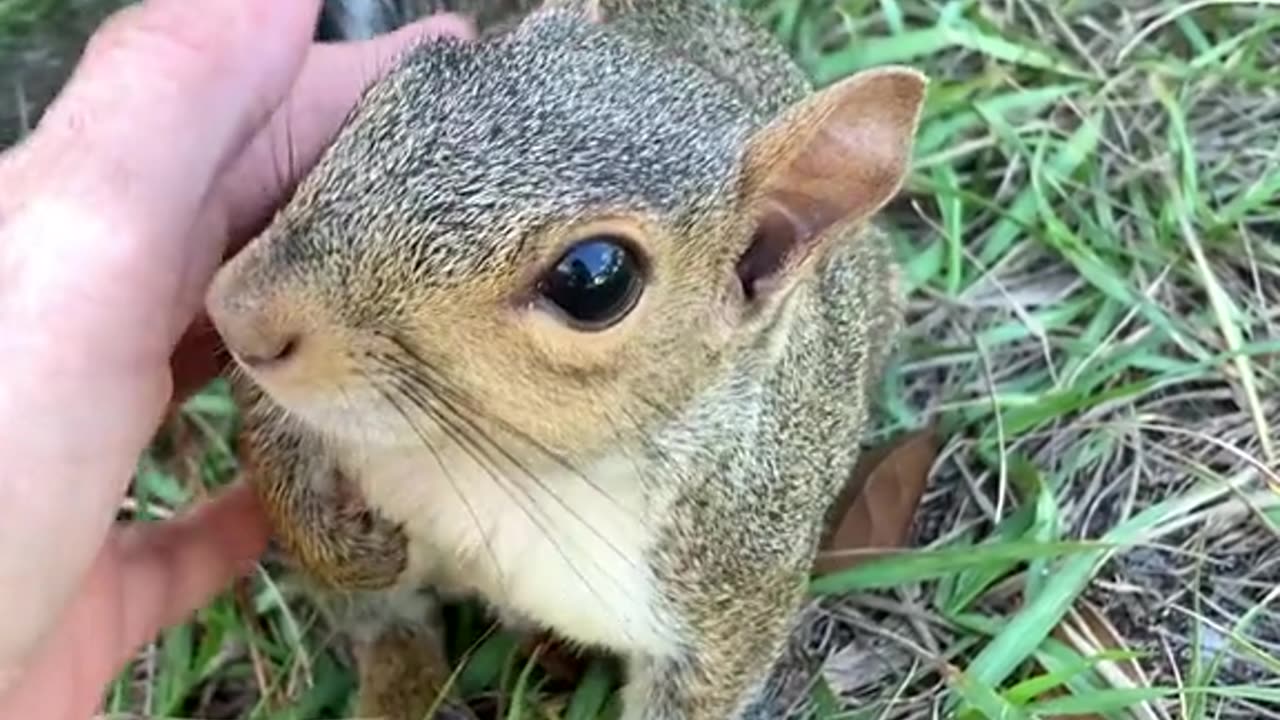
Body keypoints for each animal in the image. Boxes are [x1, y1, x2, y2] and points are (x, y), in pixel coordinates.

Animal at [204, 2, 926, 712]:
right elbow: (269, 437)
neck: (503, 468)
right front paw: (336, 542)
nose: (237, 312)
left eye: (594, 279)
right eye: (389, 90)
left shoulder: (734, 600)